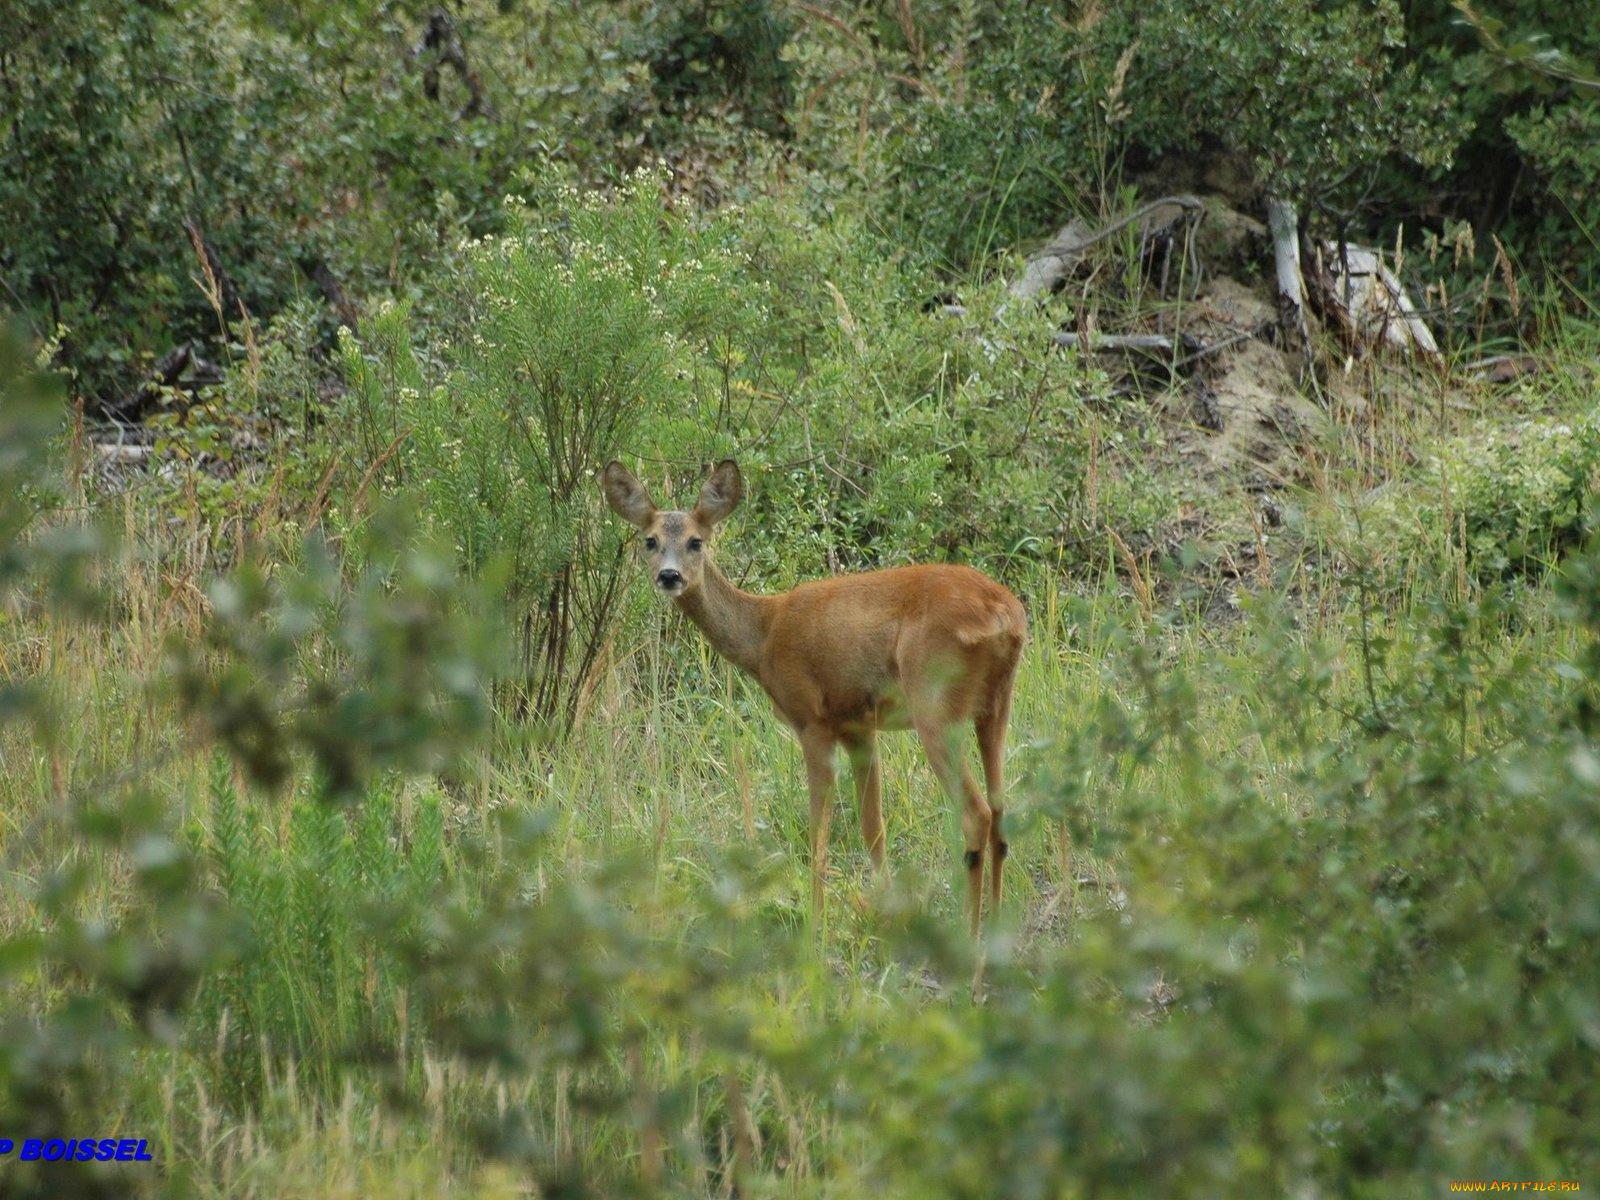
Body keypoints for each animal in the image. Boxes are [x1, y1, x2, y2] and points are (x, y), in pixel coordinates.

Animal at [601, 454, 1024, 934]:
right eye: (650, 540)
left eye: (696, 541)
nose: (669, 576)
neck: (764, 634)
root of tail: (1004, 613)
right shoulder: (859, 725)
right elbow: (873, 828)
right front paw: (886, 912)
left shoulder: (812, 717)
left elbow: (818, 831)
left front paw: (815, 924)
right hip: (996, 706)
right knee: (1002, 814)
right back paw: (997, 925)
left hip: (934, 704)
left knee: (977, 815)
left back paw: (971, 935)